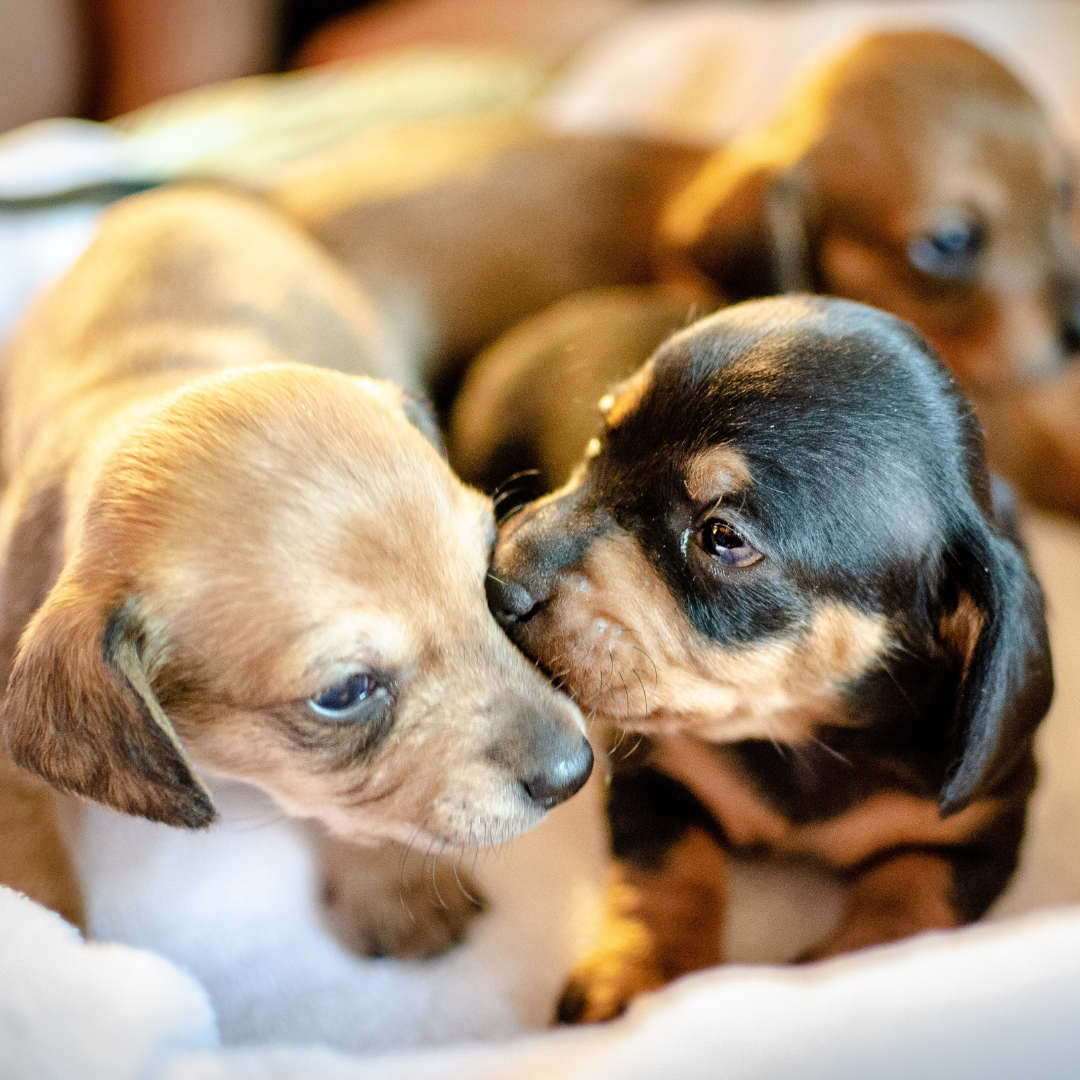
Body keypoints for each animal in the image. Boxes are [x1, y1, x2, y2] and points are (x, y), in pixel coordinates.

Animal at [486, 293, 1049, 1019]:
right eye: (598, 443)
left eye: (722, 537)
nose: (497, 582)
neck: (803, 735)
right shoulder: (657, 774)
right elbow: (668, 873)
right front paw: (638, 974)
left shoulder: (980, 831)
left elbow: (912, 903)